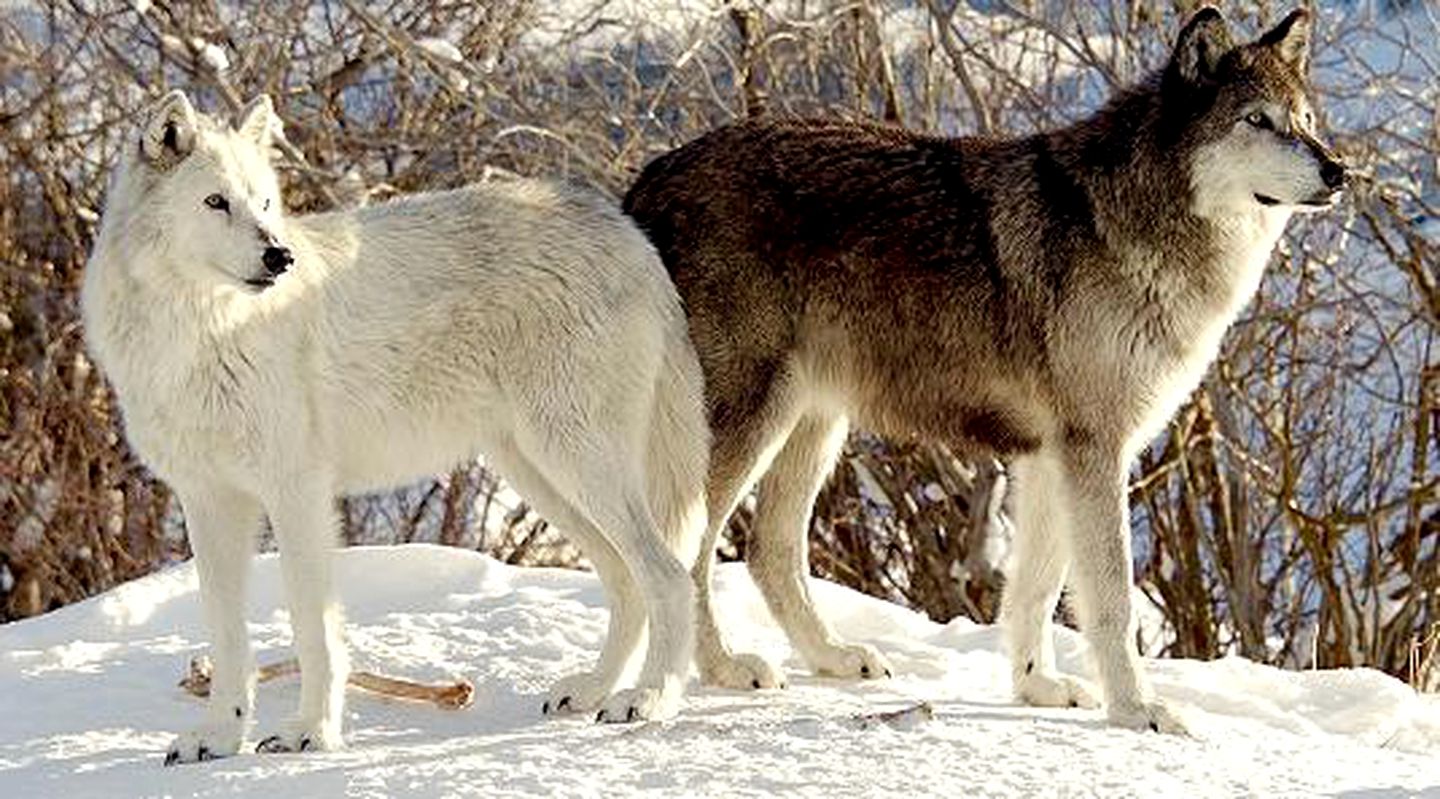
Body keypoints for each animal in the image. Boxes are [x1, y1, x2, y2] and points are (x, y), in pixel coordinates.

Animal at [81, 90, 711, 765]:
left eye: (266, 203)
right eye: (216, 202)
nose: (280, 256)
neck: (202, 333)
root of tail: (626, 231)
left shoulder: (297, 494)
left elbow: (312, 628)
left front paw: (311, 732)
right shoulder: (209, 502)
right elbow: (226, 637)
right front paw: (222, 737)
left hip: (579, 465)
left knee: (669, 578)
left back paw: (648, 700)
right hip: (542, 476)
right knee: (626, 580)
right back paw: (593, 689)